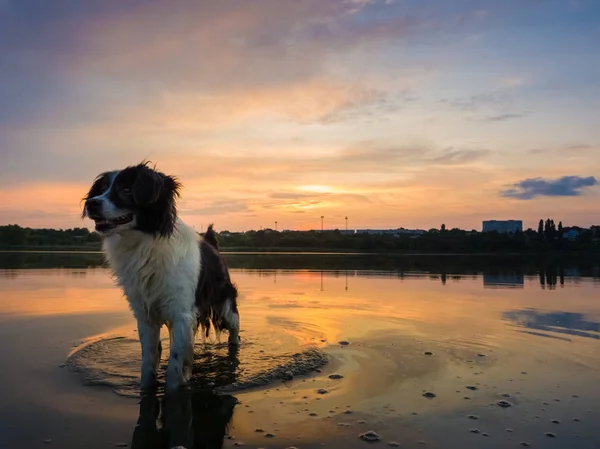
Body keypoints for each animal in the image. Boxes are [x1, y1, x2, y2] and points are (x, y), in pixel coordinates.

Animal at [82, 161, 241, 388]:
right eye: (102, 189)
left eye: (127, 189)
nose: (91, 203)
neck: (145, 244)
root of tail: (212, 243)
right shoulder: (146, 315)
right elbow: (148, 362)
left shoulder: (182, 313)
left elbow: (175, 366)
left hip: (224, 304)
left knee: (235, 329)